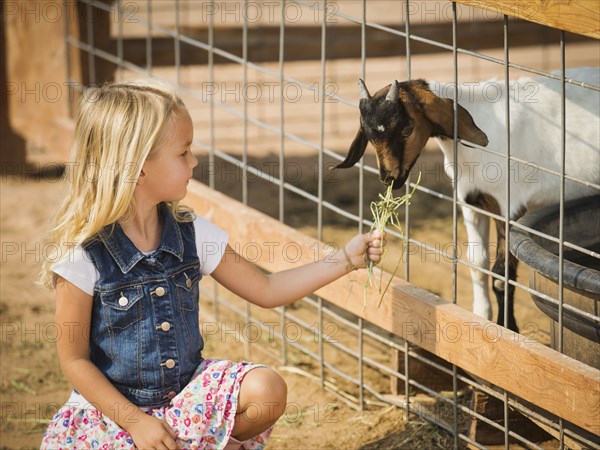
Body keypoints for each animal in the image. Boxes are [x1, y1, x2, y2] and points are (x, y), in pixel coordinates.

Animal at [338, 68, 600, 332]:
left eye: (406, 129)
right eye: (368, 134)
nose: (388, 177)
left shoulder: (509, 206)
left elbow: (501, 275)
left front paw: (507, 328)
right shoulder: (471, 203)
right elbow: (477, 264)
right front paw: (480, 315)